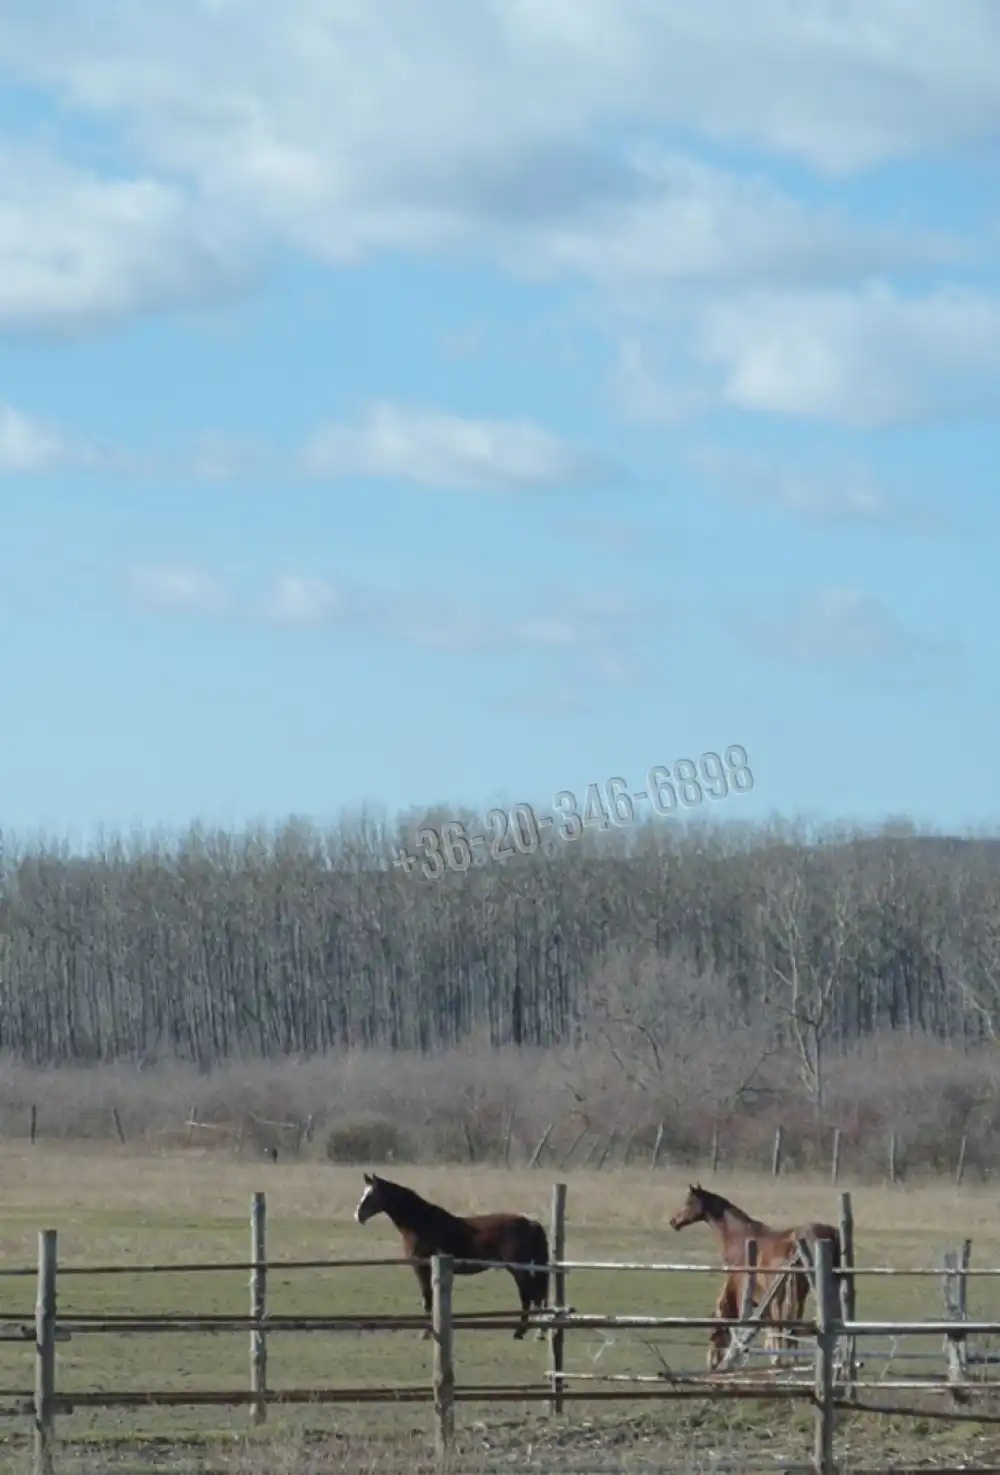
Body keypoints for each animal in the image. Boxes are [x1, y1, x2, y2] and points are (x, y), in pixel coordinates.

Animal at [353, 1174, 557, 1339]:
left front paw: (426, 1333)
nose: (358, 1216)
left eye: (371, 1194)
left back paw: (524, 1332)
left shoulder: (421, 1268)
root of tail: (531, 1223)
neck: (421, 1223)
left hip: (519, 1270)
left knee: (529, 1298)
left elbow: (427, 1300)